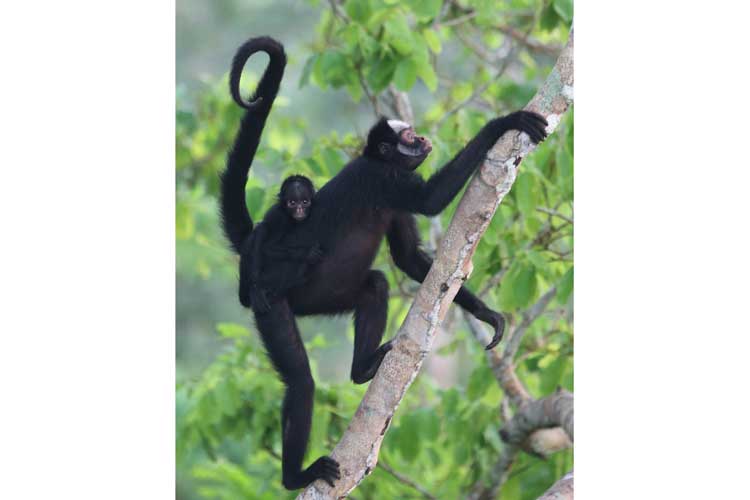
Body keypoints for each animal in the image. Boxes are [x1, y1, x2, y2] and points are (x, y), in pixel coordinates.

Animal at [241, 176, 324, 312]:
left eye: (305, 202)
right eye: (292, 203)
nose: (300, 210)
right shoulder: (279, 218)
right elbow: (267, 248)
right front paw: (307, 253)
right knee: (261, 230)